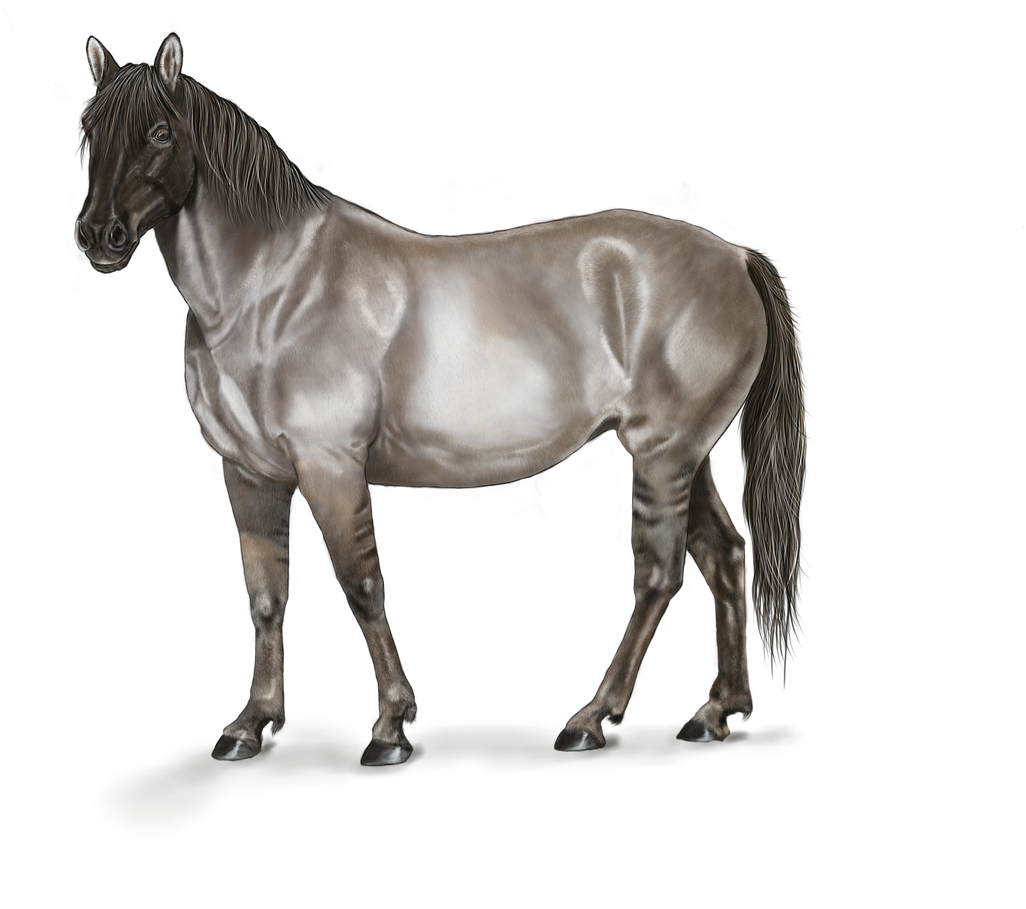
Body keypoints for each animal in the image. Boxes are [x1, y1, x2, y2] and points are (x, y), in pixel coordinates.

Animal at [74, 31, 809, 767]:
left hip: (662, 452)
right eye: (87, 131)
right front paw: (251, 725)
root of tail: (736, 257)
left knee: (659, 574)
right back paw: (715, 712)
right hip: (691, 454)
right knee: (725, 554)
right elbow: (265, 598)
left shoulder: (329, 464)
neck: (273, 290)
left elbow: (362, 585)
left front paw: (391, 726)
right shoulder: (249, 472)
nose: (96, 237)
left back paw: (593, 717)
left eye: (160, 133)